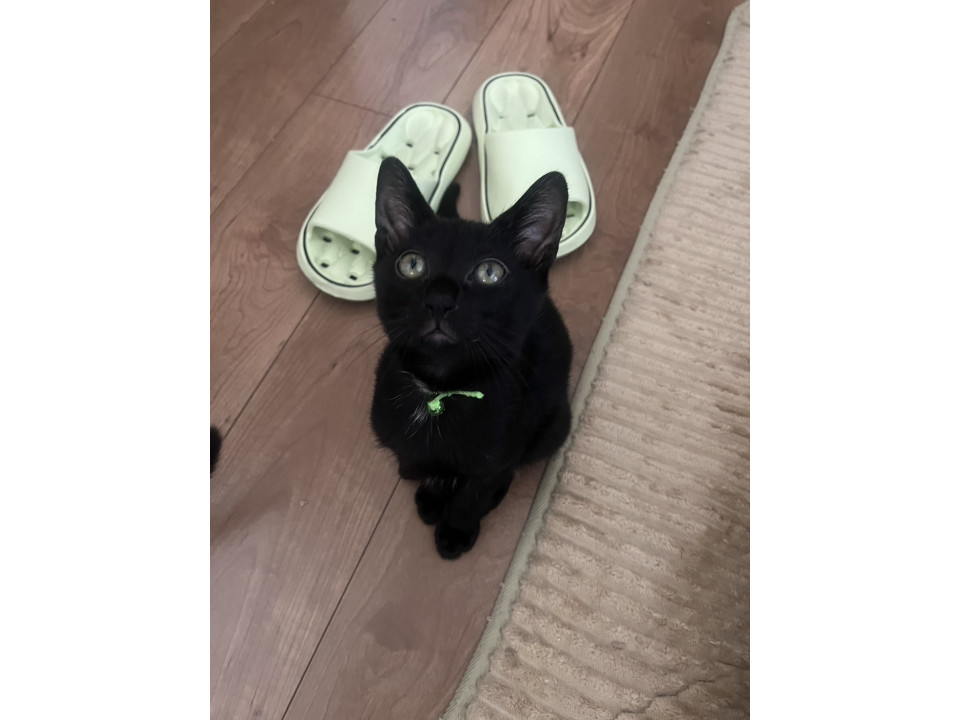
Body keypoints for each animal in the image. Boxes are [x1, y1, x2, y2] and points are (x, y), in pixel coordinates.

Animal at [370, 157, 573, 559]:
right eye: (412, 264)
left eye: (489, 273)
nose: (439, 298)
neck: (438, 393)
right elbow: (426, 467)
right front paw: (434, 488)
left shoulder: (501, 449)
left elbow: (477, 490)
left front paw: (456, 530)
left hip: (554, 426)